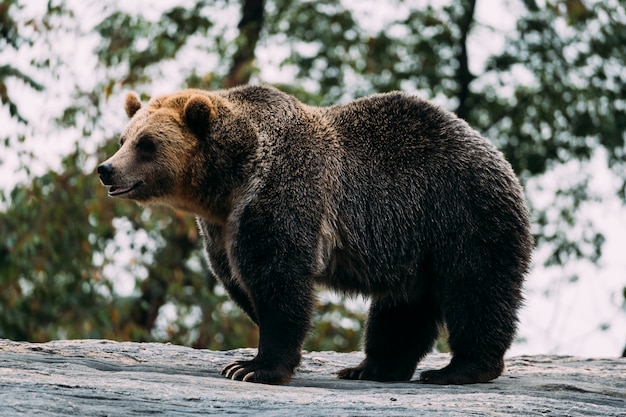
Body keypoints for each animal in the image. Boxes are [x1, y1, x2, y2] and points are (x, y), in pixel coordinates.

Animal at [98, 83, 532, 384]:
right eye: (124, 138)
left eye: (147, 144)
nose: (106, 169)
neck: (230, 180)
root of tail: (497, 155)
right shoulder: (221, 228)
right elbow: (241, 281)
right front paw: (247, 359)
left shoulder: (282, 193)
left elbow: (280, 279)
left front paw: (251, 367)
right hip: (414, 243)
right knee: (403, 306)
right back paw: (371, 367)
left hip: (461, 215)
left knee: (475, 288)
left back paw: (459, 369)